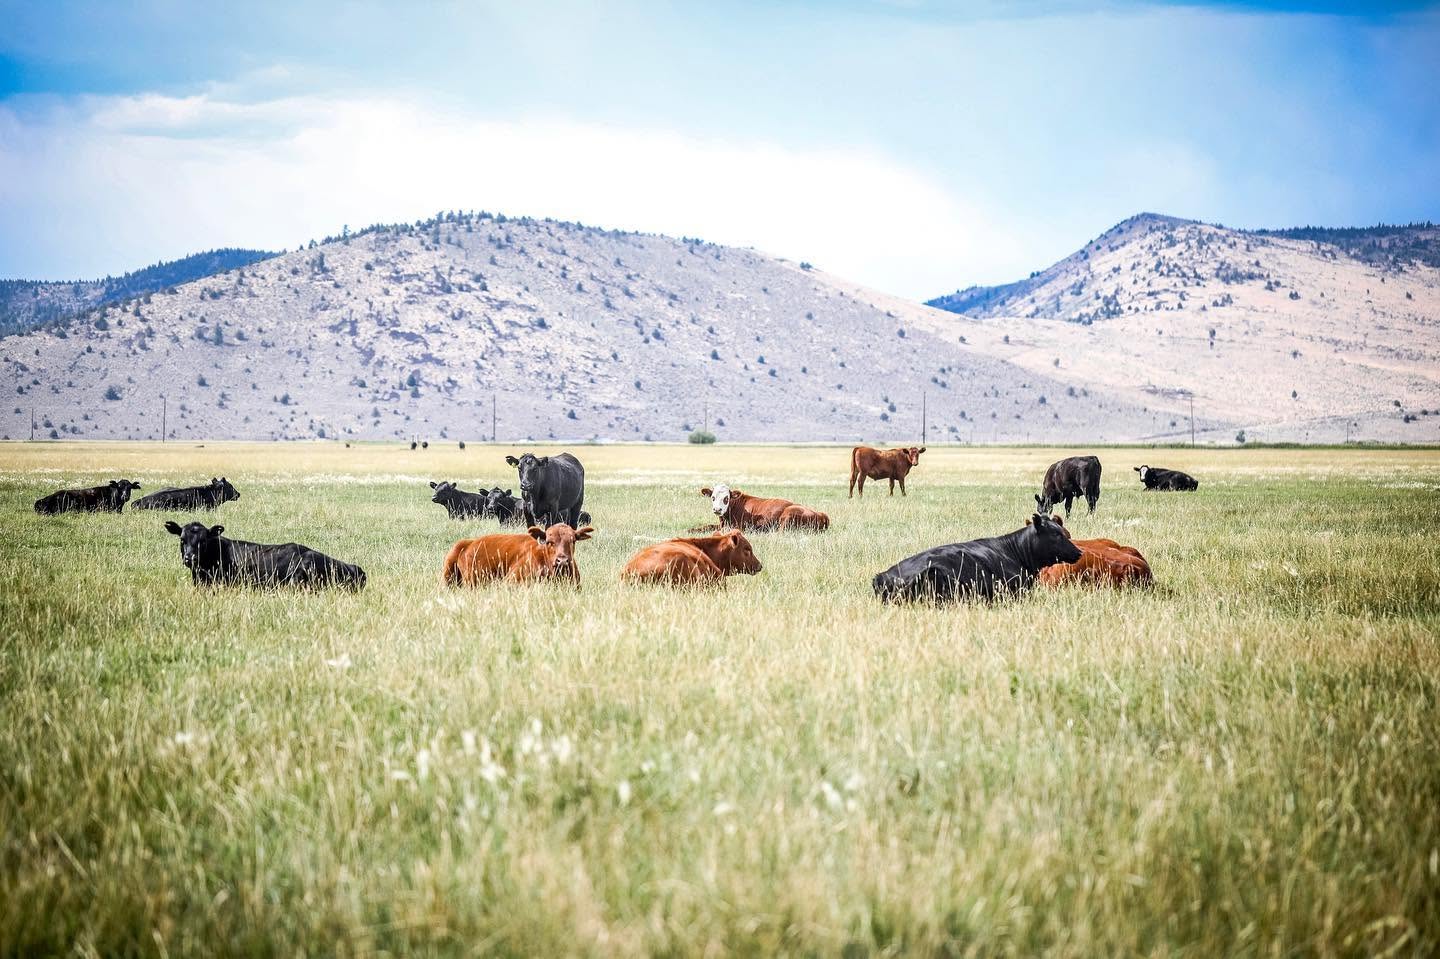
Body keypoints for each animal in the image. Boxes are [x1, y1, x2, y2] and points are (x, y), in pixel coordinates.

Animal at [700, 484, 829, 532]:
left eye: (726, 498)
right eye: (713, 497)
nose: (717, 509)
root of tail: (820, 514)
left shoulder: (740, 526)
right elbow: (707, 526)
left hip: (788, 515)